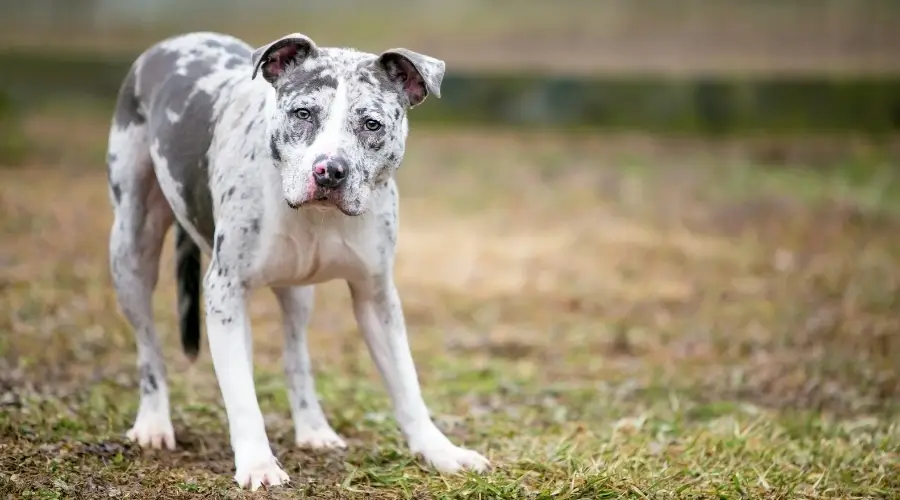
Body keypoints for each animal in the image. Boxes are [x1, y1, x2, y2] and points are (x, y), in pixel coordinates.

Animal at [106, 32, 492, 492]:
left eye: (372, 124)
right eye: (303, 113)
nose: (329, 170)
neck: (318, 217)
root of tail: (176, 40)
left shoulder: (377, 296)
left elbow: (406, 384)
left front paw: (440, 452)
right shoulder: (225, 291)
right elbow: (241, 394)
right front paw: (257, 464)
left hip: (295, 292)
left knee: (296, 356)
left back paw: (313, 428)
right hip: (132, 251)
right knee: (150, 347)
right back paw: (152, 422)